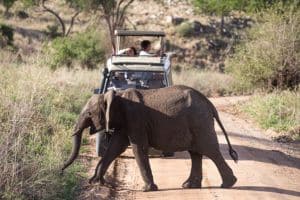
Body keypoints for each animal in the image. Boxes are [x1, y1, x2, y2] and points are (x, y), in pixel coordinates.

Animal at [62, 85, 238, 192]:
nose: (61, 170)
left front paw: (147, 189)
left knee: (210, 150)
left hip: (200, 122)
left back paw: (228, 184)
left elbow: (138, 148)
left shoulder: (135, 118)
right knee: (195, 153)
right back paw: (189, 186)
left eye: (89, 114)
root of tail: (210, 104)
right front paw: (97, 182)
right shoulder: (125, 122)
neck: (117, 95)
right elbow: (115, 147)